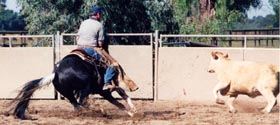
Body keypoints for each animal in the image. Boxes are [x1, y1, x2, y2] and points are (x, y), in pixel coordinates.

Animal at [7, 53, 137, 119]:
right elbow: (117, 102)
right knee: (81, 101)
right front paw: (130, 112)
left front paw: (132, 109)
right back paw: (101, 110)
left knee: (76, 104)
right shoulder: (104, 91)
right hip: (86, 86)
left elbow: (122, 95)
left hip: (67, 93)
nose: (134, 87)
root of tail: (56, 72)